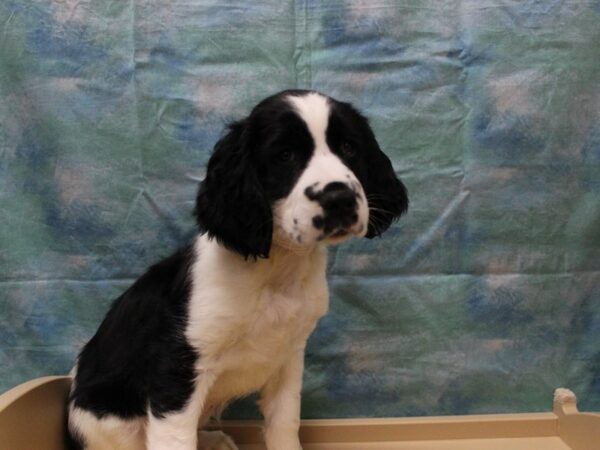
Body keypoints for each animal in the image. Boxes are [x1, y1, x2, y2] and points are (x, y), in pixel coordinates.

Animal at [68, 89, 410, 448]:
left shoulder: (289, 357)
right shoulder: (177, 364)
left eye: (349, 148)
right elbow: (176, 439)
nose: (339, 198)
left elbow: (284, 422)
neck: (276, 270)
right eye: (285, 155)